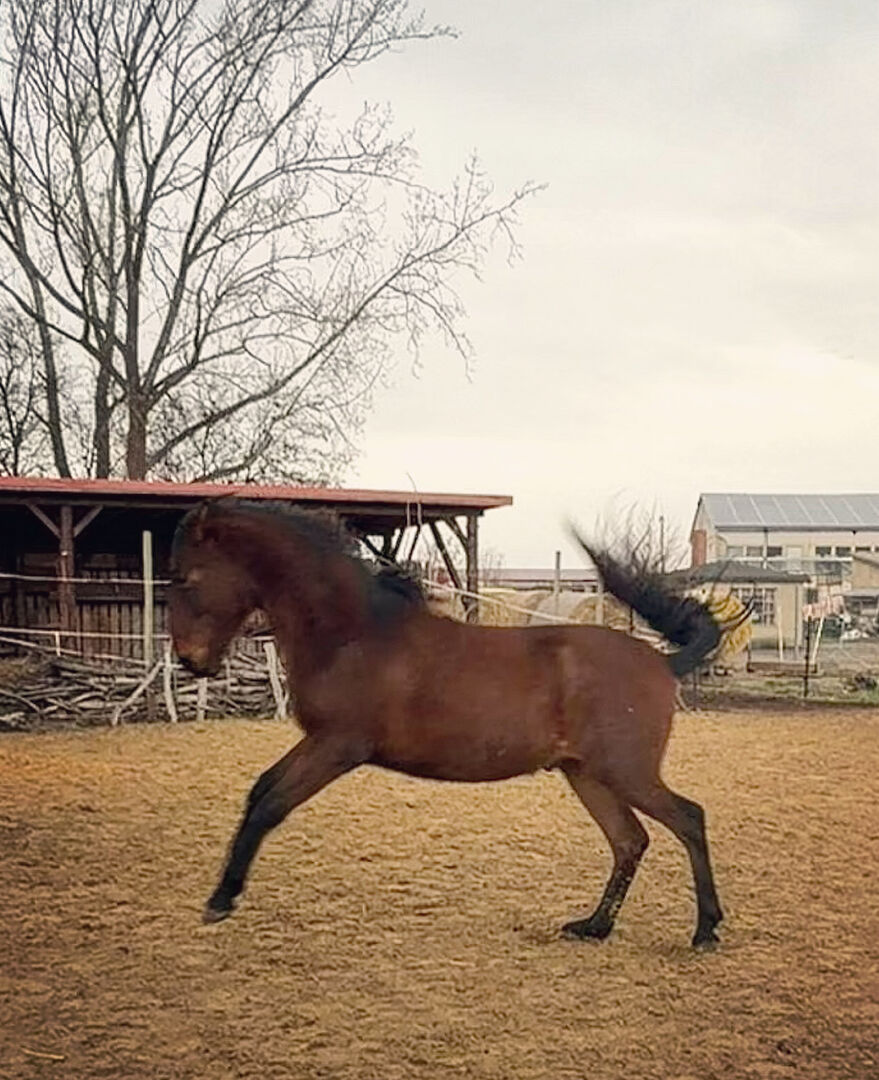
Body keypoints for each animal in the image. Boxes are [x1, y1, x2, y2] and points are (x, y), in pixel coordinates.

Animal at [168, 500, 727, 947]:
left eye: (187, 580)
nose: (191, 661)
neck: (354, 633)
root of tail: (663, 663)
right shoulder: (319, 743)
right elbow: (260, 791)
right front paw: (223, 895)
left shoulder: (338, 746)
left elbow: (271, 806)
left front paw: (220, 900)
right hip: (587, 774)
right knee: (630, 840)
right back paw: (593, 927)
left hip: (626, 772)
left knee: (689, 818)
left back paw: (706, 929)